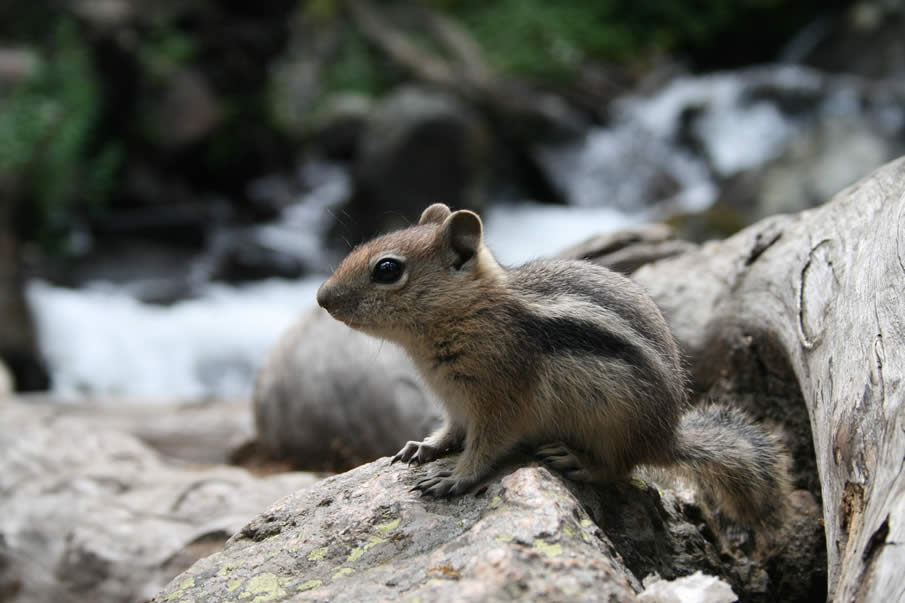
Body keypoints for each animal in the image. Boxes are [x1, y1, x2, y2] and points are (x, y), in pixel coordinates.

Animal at [318, 204, 792, 528]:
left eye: (387, 269)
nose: (322, 298)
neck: (470, 313)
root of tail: (667, 438)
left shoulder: (501, 397)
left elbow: (486, 445)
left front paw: (455, 478)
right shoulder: (454, 401)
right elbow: (451, 431)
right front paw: (425, 446)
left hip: (614, 422)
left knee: (620, 470)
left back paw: (579, 461)